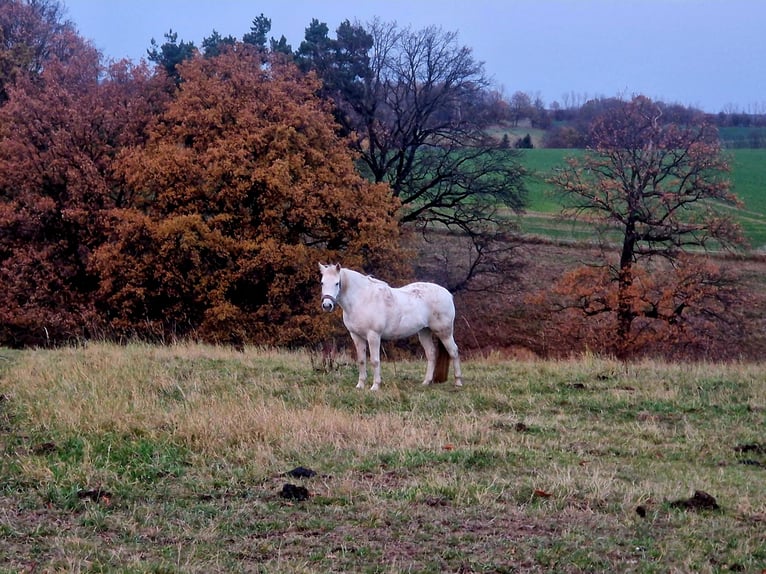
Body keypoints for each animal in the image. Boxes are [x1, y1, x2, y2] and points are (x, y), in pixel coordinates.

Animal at [319, 263, 463, 391]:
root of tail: (448, 294)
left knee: (453, 351)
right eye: (322, 283)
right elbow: (361, 360)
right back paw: (426, 382)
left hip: (444, 332)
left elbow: (375, 361)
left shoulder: (373, 335)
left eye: (337, 283)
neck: (362, 299)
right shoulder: (356, 336)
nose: (327, 305)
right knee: (431, 354)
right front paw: (360, 385)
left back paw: (458, 382)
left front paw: (375, 386)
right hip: (424, 332)